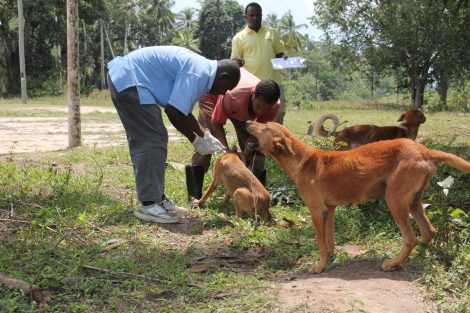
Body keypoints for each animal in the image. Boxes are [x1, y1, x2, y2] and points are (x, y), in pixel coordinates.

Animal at [248, 120, 468, 272]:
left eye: (265, 125)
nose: (249, 121)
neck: (302, 161)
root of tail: (423, 150)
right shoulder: (330, 210)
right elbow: (329, 241)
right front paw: (330, 259)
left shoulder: (317, 211)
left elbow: (320, 242)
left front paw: (319, 267)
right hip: (414, 201)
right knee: (428, 231)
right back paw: (416, 256)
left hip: (395, 201)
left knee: (411, 238)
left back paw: (393, 264)